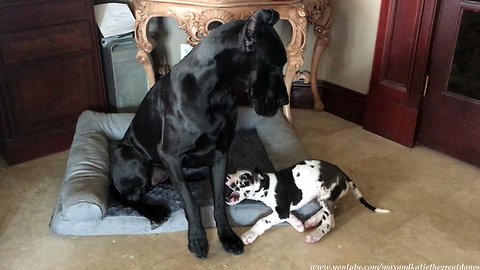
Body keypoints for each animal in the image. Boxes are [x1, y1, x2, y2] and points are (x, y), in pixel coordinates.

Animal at [111, 9, 288, 258]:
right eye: (274, 66)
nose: (285, 101)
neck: (216, 92)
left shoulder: (221, 154)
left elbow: (219, 200)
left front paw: (227, 236)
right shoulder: (171, 155)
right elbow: (190, 202)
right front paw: (197, 239)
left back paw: (193, 176)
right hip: (132, 158)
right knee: (130, 198)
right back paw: (154, 211)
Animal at [225, 160, 390, 245]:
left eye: (244, 178)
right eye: (234, 172)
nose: (226, 176)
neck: (268, 184)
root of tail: (343, 175)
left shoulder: (281, 211)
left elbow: (262, 220)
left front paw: (250, 234)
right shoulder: (283, 212)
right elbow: (289, 216)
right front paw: (298, 223)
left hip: (325, 197)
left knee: (329, 222)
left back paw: (316, 234)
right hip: (322, 197)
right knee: (332, 210)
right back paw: (312, 221)